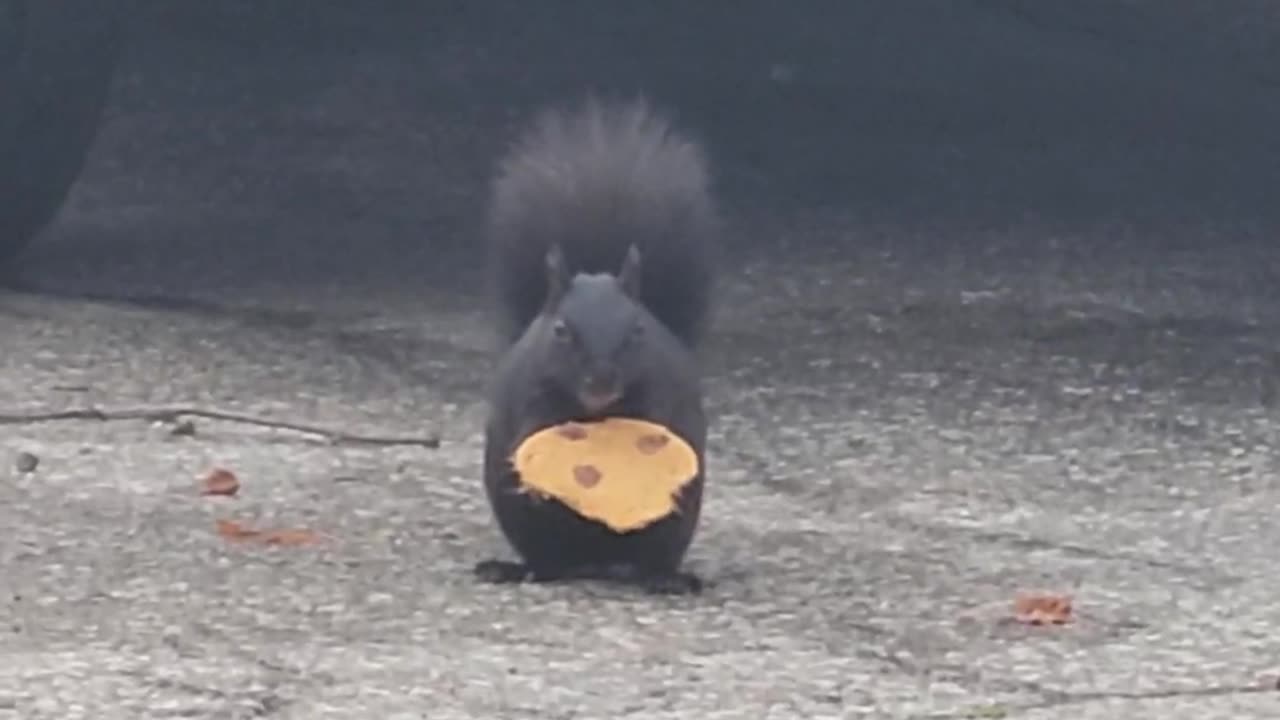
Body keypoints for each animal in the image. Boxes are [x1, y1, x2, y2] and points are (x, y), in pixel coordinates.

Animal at [476, 96, 721, 594]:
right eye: (560, 331)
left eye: (638, 331)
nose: (602, 381)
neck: (595, 413)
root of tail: (596, 562)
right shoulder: (529, 387)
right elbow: (531, 423)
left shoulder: (662, 384)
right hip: (524, 521)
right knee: (546, 560)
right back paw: (516, 569)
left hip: (675, 522)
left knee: (652, 559)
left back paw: (666, 578)